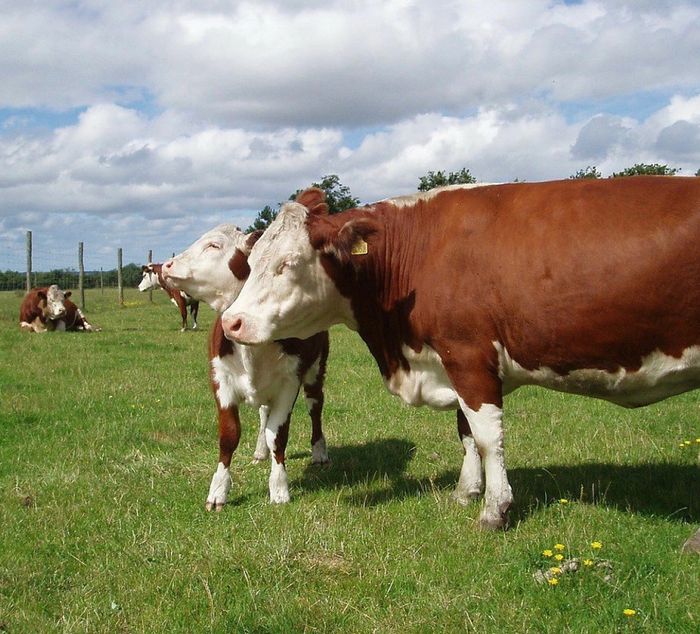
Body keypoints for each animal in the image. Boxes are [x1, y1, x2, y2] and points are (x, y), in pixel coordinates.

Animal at [163, 222, 330, 508]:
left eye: (214, 245)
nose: (167, 265)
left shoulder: (289, 382)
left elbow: (278, 435)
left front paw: (279, 487)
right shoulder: (221, 380)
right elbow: (229, 435)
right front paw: (218, 490)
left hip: (316, 368)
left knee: (314, 406)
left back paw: (319, 451)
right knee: (264, 413)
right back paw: (260, 451)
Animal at [221, 175, 700, 532]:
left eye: (287, 264)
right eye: (252, 261)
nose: (231, 322)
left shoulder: (469, 356)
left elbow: (487, 436)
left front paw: (495, 509)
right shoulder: (453, 363)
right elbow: (466, 432)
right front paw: (465, 492)